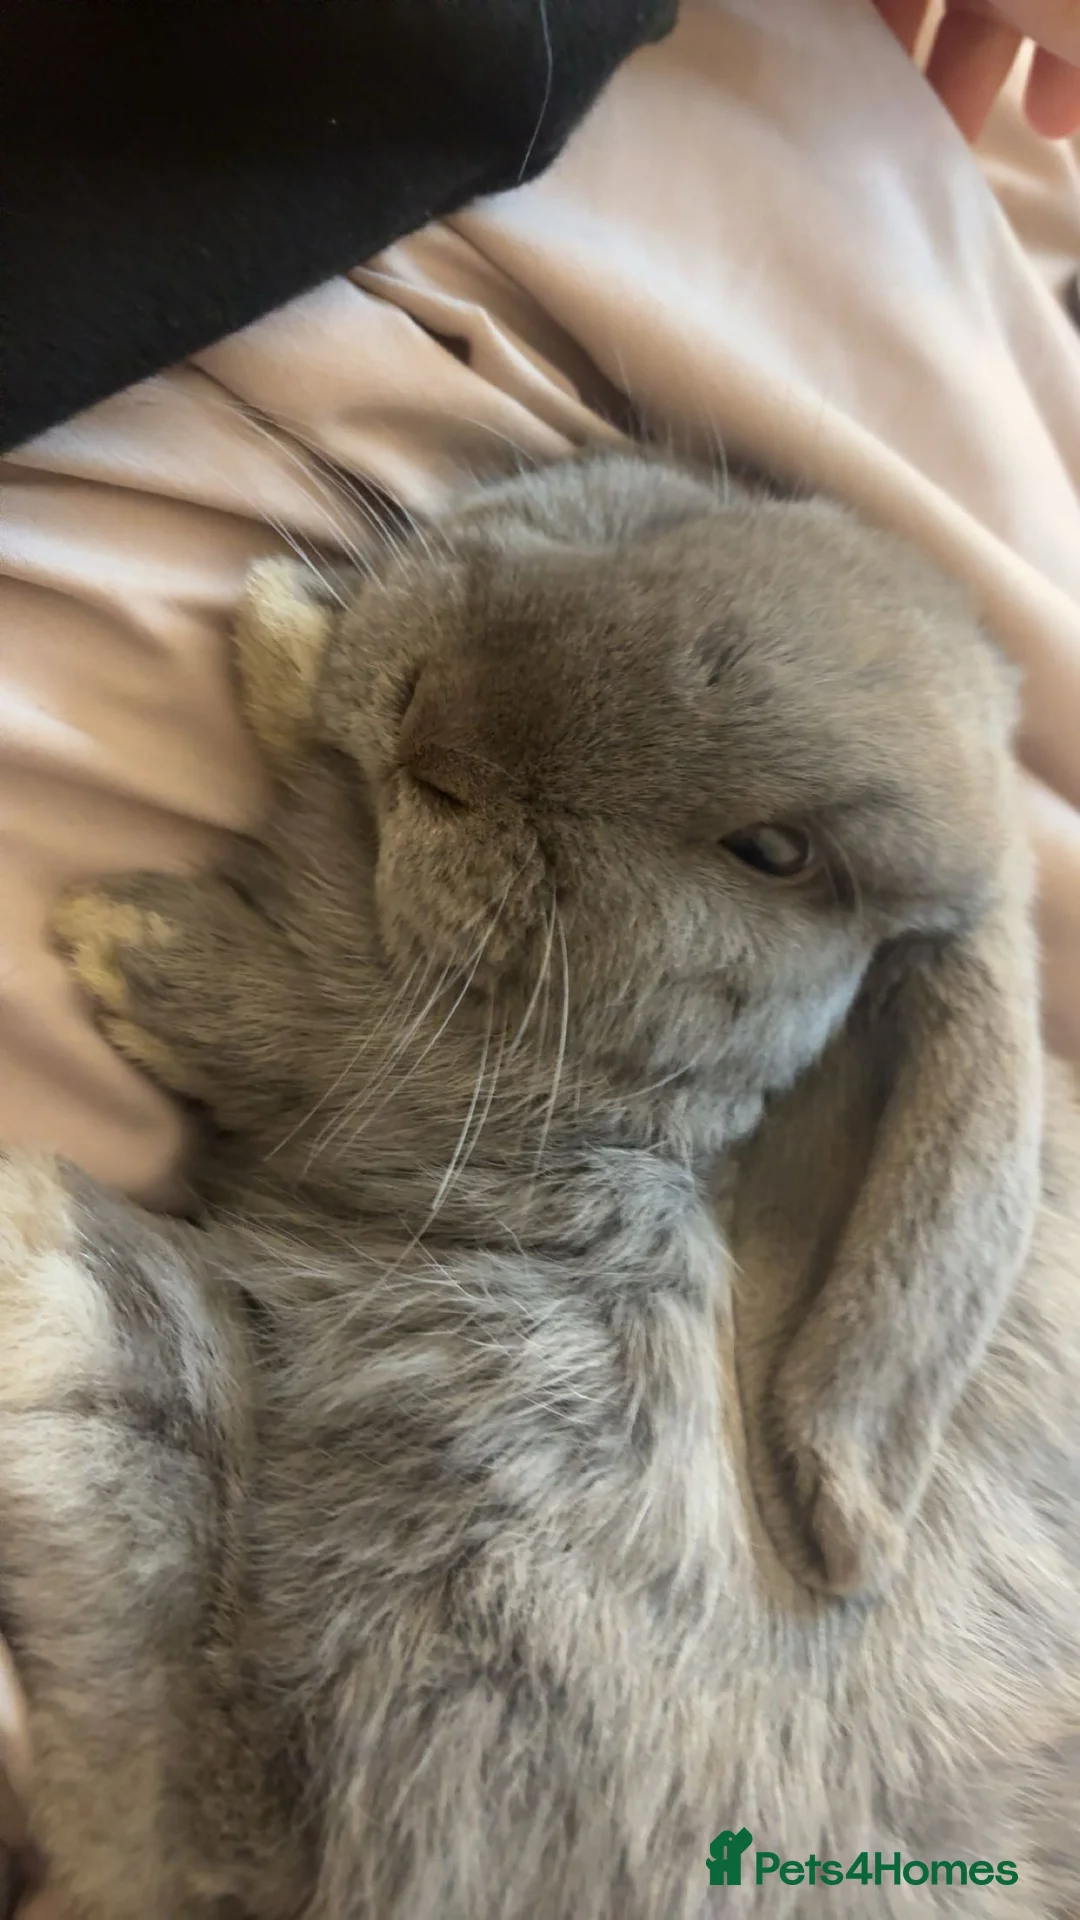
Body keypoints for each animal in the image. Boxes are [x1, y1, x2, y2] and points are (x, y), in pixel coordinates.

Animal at [0, 445, 1077, 1920]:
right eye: (718, 509)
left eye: (778, 855)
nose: (430, 717)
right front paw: (291, 626)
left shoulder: (400, 1075)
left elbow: (294, 1018)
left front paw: (118, 938)